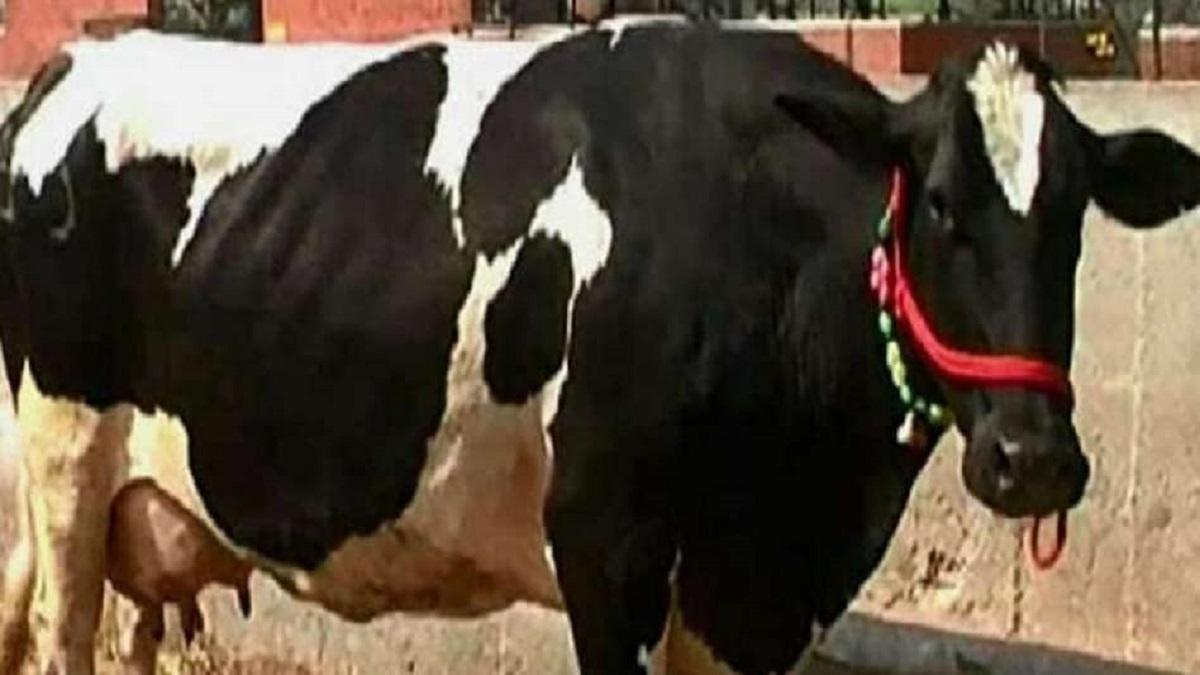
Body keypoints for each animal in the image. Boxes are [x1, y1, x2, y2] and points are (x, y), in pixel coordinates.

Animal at [1, 21, 1199, 675]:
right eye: (939, 204)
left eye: (1077, 214)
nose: (1033, 459)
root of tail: (77, 59)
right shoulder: (604, 544)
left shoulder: (756, 592)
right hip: (62, 462)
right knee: (60, 635)